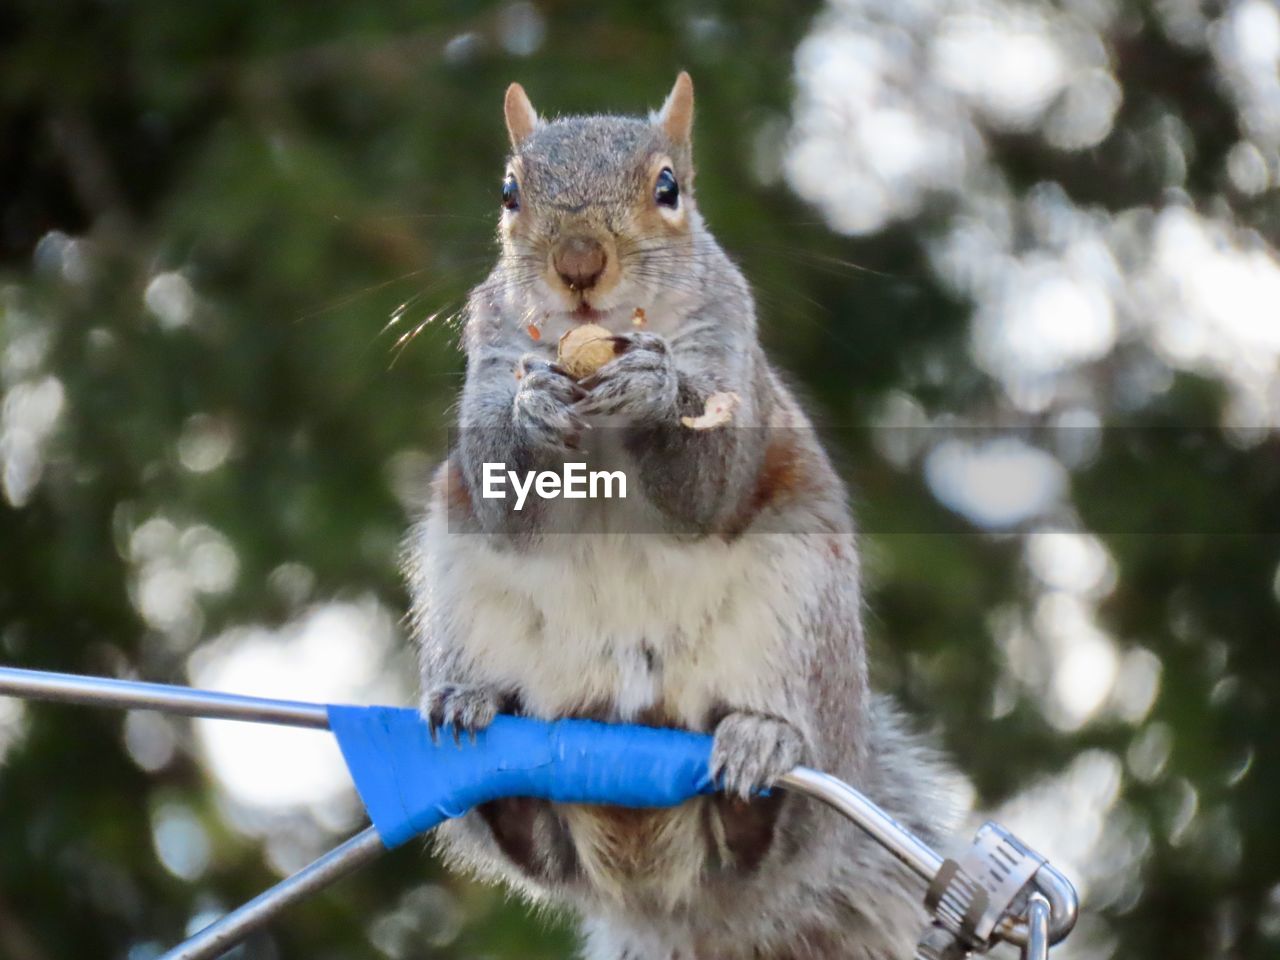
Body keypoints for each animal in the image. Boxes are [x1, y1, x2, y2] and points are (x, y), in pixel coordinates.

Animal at [404, 71, 962, 957]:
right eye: (510, 192)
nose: (578, 263)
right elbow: (500, 498)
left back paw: (759, 754)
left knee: (768, 835)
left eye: (668, 188)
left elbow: (711, 487)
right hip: (463, 604)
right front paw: (534, 407)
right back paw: (477, 723)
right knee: (535, 847)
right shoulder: (489, 360)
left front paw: (658, 390)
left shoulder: (730, 348)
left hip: (798, 626)